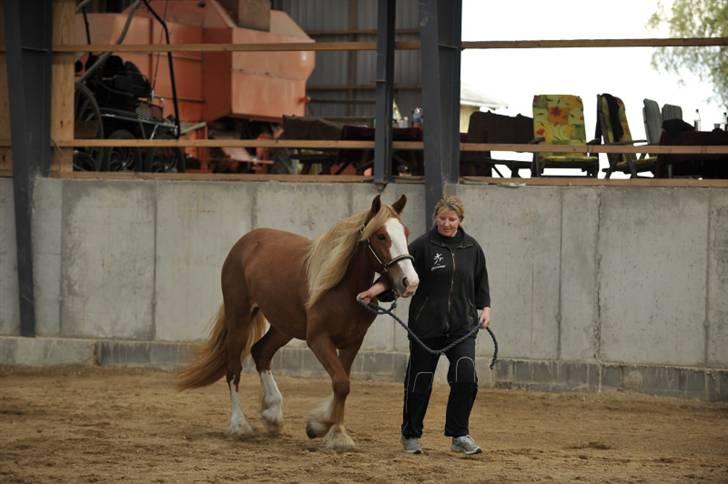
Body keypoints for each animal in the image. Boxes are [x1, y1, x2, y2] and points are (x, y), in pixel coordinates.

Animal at [178, 194, 420, 450]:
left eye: (406, 232)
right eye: (381, 236)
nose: (410, 281)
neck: (340, 290)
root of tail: (245, 242)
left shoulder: (352, 343)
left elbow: (342, 384)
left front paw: (334, 432)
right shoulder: (318, 339)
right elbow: (341, 383)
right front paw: (323, 428)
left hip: (285, 326)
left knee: (261, 352)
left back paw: (272, 414)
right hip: (239, 317)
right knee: (234, 367)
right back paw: (238, 425)